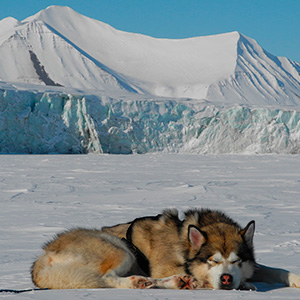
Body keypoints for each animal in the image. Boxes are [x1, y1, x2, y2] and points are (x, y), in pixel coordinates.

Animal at [31, 210, 300, 290]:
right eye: (212, 261)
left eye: (236, 261)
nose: (226, 279)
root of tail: (42, 258)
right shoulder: (165, 264)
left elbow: (277, 270)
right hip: (120, 249)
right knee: (107, 278)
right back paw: (139, 282)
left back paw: (178, 282)